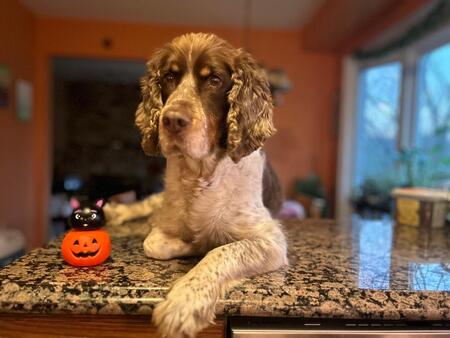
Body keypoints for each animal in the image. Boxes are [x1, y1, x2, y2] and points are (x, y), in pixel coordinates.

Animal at [105, 32, 286, 338]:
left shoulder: (271, 240)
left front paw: (183, 303)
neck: (201, 173)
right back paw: (116, 211)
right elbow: (154, 243)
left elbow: (220, 252)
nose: (172, 120)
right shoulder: (165, 222)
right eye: (169, 77)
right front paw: (190, 243)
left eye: (214, 79)